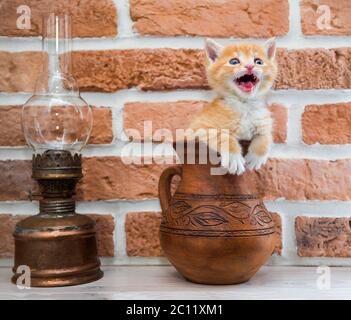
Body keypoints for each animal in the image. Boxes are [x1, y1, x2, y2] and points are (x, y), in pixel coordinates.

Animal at [188, 39, 280, 176]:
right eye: (234, 62)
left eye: (258, 61)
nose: (249, 66)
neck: (245, 104)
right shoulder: (200, 125)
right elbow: (223, 135)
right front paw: (234, 157)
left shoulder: (264, 121)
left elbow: (266, 136)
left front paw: (256, 157)